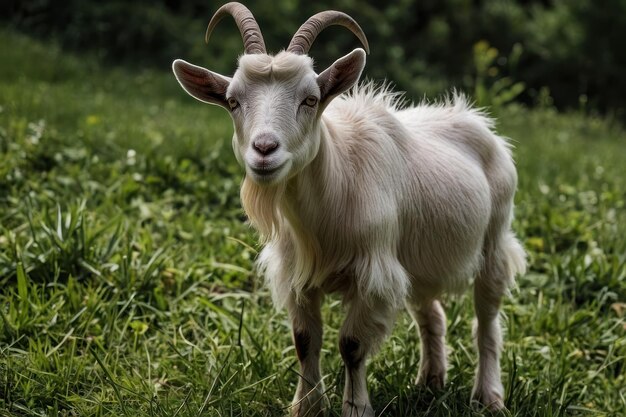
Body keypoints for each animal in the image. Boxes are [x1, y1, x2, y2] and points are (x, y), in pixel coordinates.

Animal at [169, 2, 520, 412]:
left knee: (487, 321)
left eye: (310, 99)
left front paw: (356, 408)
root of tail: (479, 123)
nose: (264, 149)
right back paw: (429, 384)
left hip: (495, 241)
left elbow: (351, 346)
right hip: (418, 260)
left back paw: (489, 397)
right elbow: (305, 341)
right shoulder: (298, 275)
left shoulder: (374, 274)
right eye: (233, 101)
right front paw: (305, 408)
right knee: (432, 314)